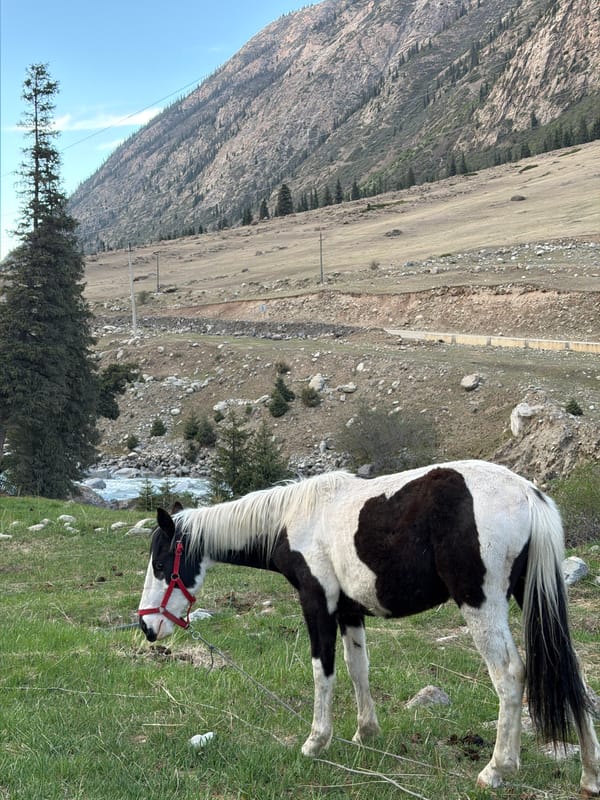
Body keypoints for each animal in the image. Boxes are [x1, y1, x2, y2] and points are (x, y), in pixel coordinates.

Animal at [137, 459, 600, 794]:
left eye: (161, 565)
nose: (147, 629)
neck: (294, 518)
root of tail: (529, 494)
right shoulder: (349, 612)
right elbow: (358, 668)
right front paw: (366, 733)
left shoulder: (317, 605)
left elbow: (323, 672)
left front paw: (315, 742)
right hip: (531, 597)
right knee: (573, 674)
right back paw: (590, 776)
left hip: (482, 605)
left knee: (510, 676)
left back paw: (496, 770)